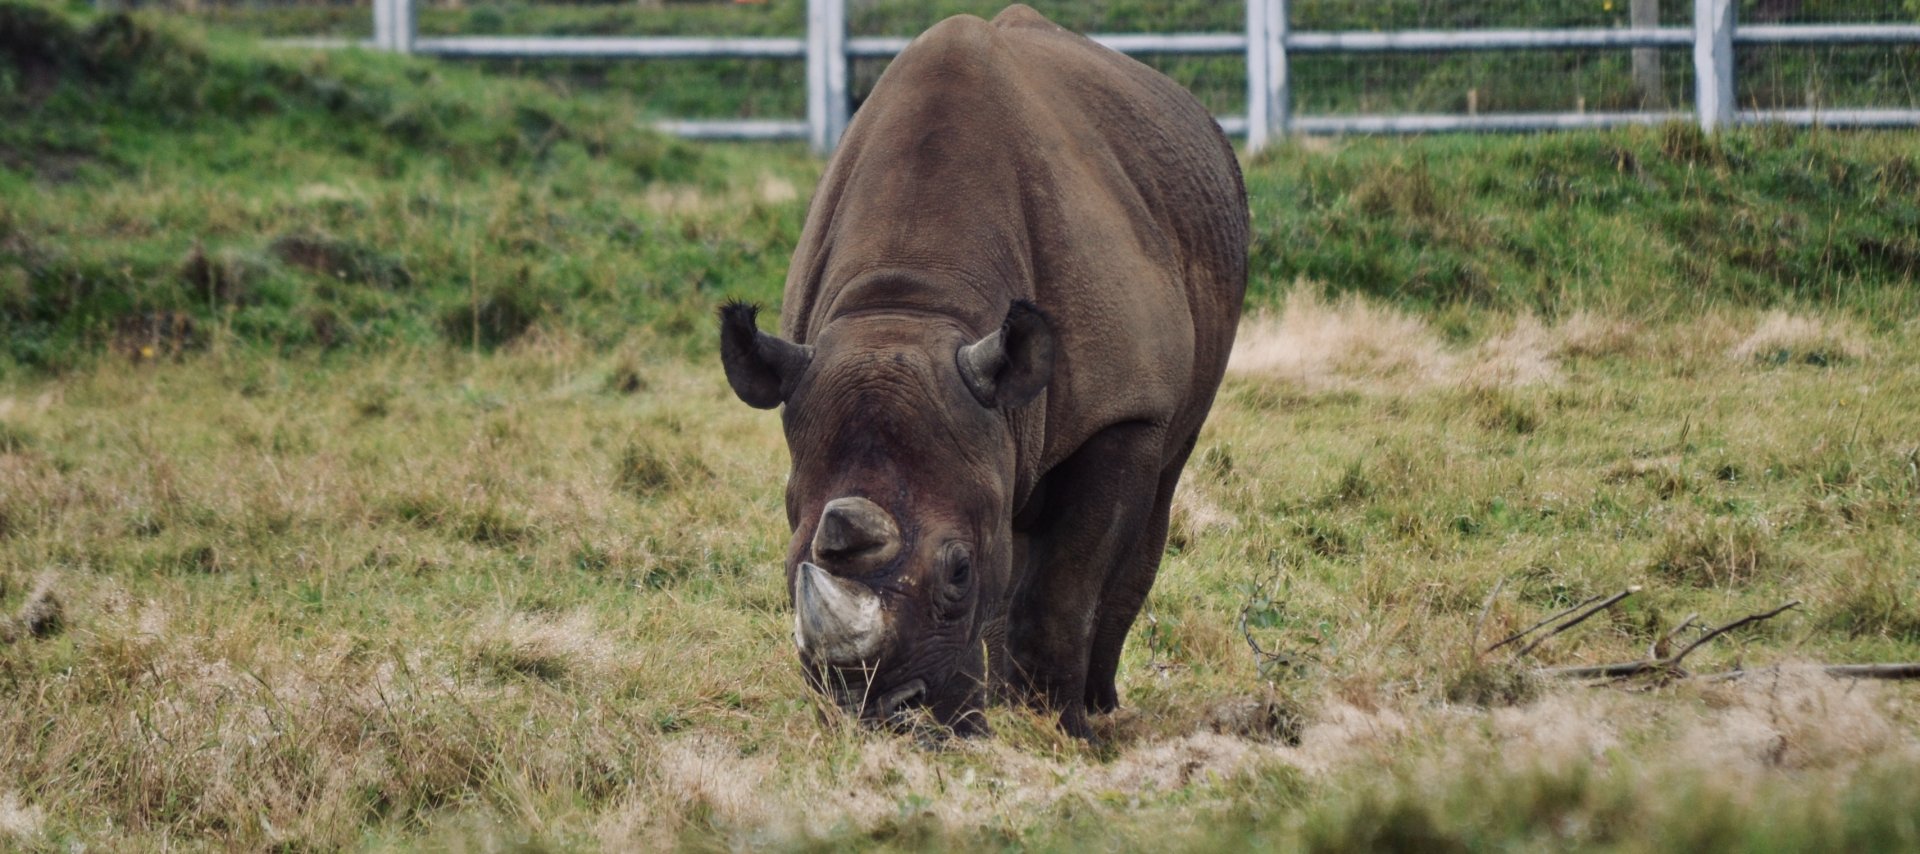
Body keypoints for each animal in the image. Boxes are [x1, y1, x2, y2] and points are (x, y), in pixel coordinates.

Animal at [719, 5, 1247, 738]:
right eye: (791, 561)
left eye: (959, 573)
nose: (879, 718)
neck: (911, 307)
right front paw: (1006, 720)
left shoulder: (1123, 411)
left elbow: (1064, 587)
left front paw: (1064, 735)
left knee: (1161, 481)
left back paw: (1096, 707)